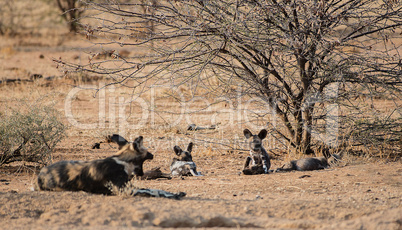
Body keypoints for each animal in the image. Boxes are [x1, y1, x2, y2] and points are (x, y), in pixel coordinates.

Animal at [36, 136, 185, 199]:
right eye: (147, 151)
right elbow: (153, 191)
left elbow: (155, 189)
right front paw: (173, 195)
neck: (122, 161)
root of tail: (40, 175)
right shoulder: (126, 189)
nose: (152, 154)